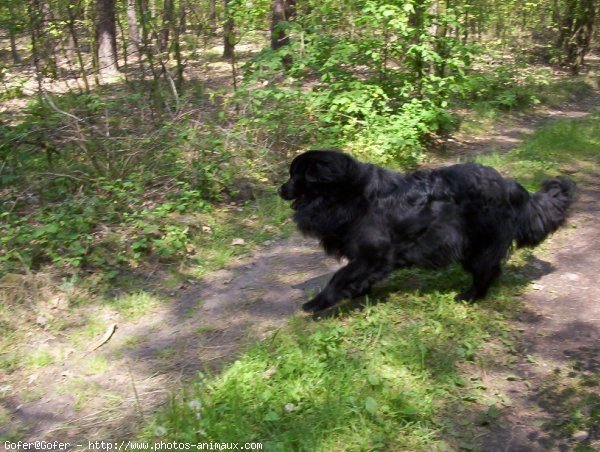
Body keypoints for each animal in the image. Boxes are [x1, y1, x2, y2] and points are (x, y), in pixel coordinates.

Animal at [278, 150, 576, 312]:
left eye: (295, 176)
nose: (280, 189)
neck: (350, 194)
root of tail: (510, 186)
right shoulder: (367, 257)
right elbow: (355, 277)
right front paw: (359, 291)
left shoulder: (374, 254)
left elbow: (339, 277)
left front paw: (317, 303)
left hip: (478, 244)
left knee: (486, 271)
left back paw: (470, 296)